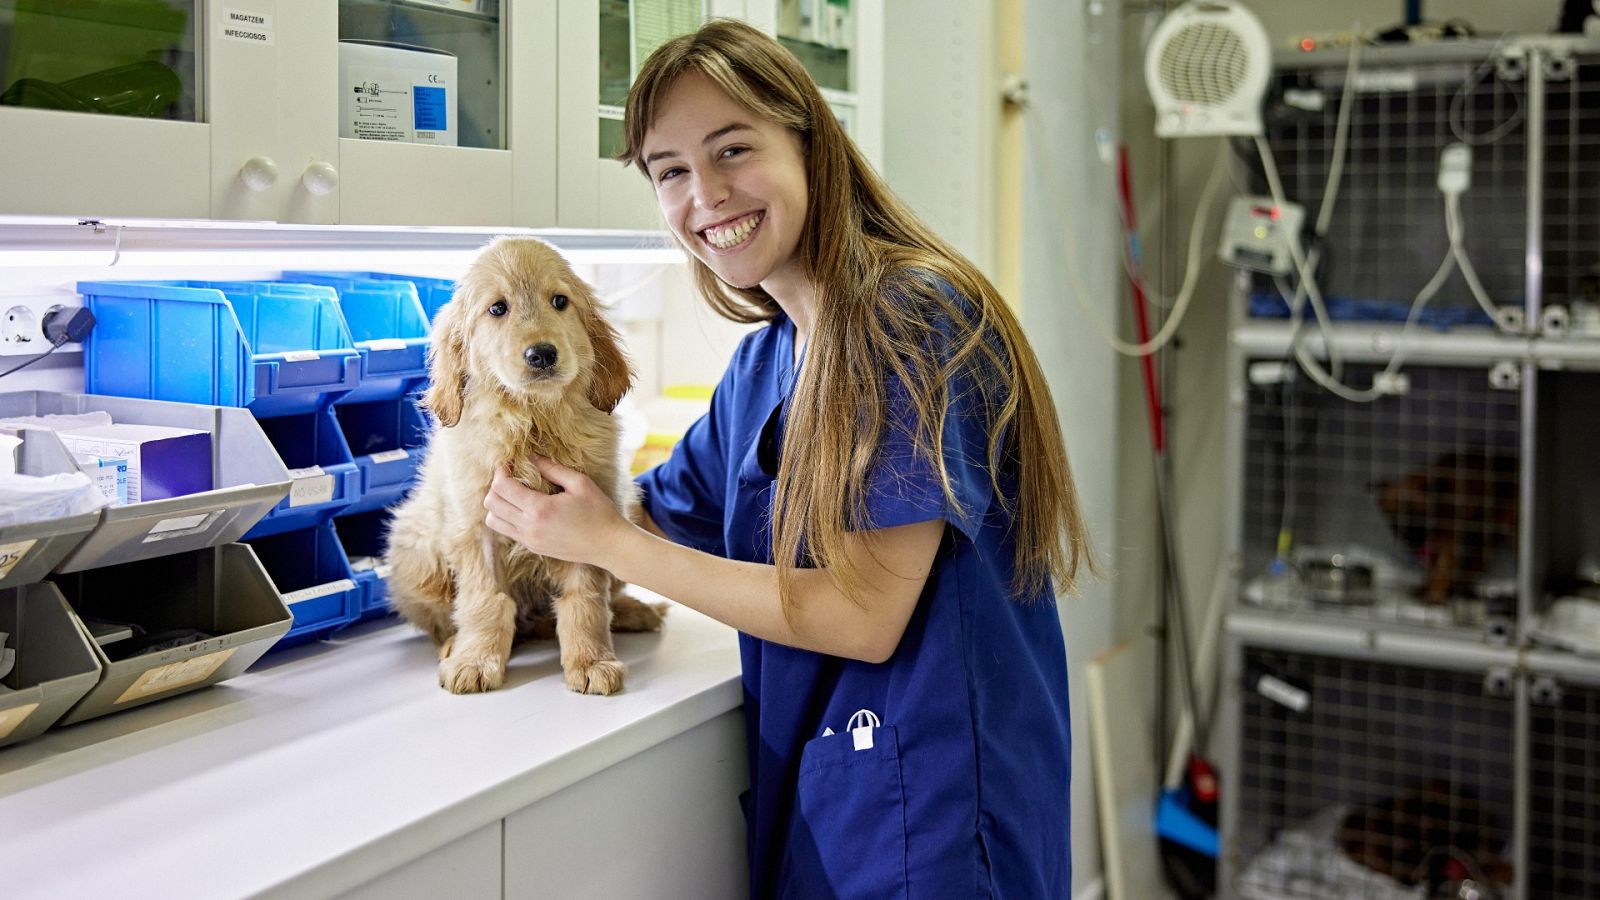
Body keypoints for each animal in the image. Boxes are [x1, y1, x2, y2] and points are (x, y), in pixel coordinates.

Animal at [387, 237, 662, 695]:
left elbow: (586, 599)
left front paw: (592, 661)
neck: (533, 422)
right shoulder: (475, 525)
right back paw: (454, 646)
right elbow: (484, 600)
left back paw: (632, 610)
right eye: (498, 308)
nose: (543, 354)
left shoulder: (590, 519)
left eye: (560, 301)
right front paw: (475, 660)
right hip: (415, 552)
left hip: (630, 511)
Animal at [1376, 445, 1510, 602]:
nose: (1410, 543)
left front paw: (1435, 594)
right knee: (1477, 562)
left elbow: (1442, 567)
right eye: (1394, 521)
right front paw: (1427, 588)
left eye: (1419, 516)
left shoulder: (1448, 540)